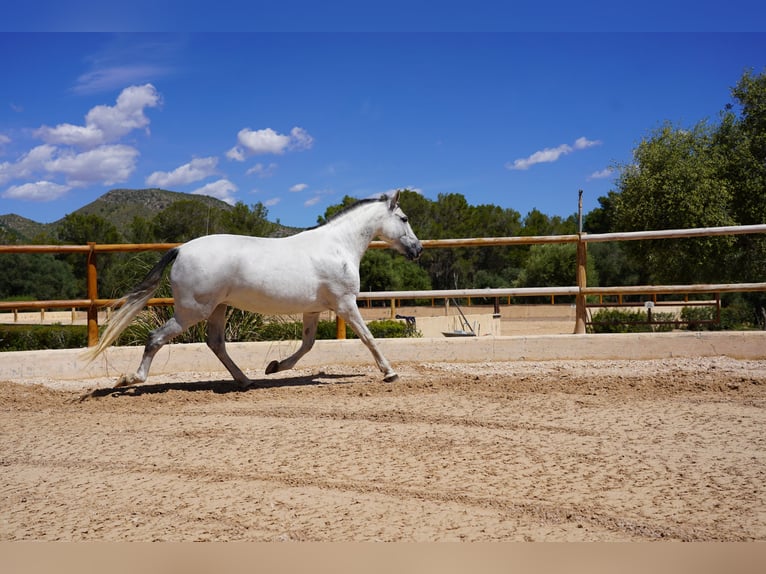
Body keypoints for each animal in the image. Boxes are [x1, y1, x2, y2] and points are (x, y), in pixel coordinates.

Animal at [84, 191, 426, 390]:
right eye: (404, 218)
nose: (418, 250)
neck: (338, 247)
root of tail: (180, 249)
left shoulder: (313, 309)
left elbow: (307, 345)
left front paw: (274, 367)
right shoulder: (345, 304)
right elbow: (368, 338)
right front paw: (389, 372)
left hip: (218, 309)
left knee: (216, 343)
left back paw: (246, 380)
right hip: (192, 312)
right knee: (156, 338)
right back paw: (130, 380)